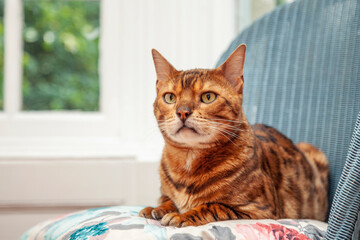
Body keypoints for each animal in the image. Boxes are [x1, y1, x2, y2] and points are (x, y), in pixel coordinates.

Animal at [140, 44, 330, 227]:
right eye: (170, 97)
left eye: (208, 97)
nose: (182, 112)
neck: (188, 160)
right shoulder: (166, 193)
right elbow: (166, 199)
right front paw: (157, 208)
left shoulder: (260, 209)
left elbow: (213, 206)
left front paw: (182, 215)